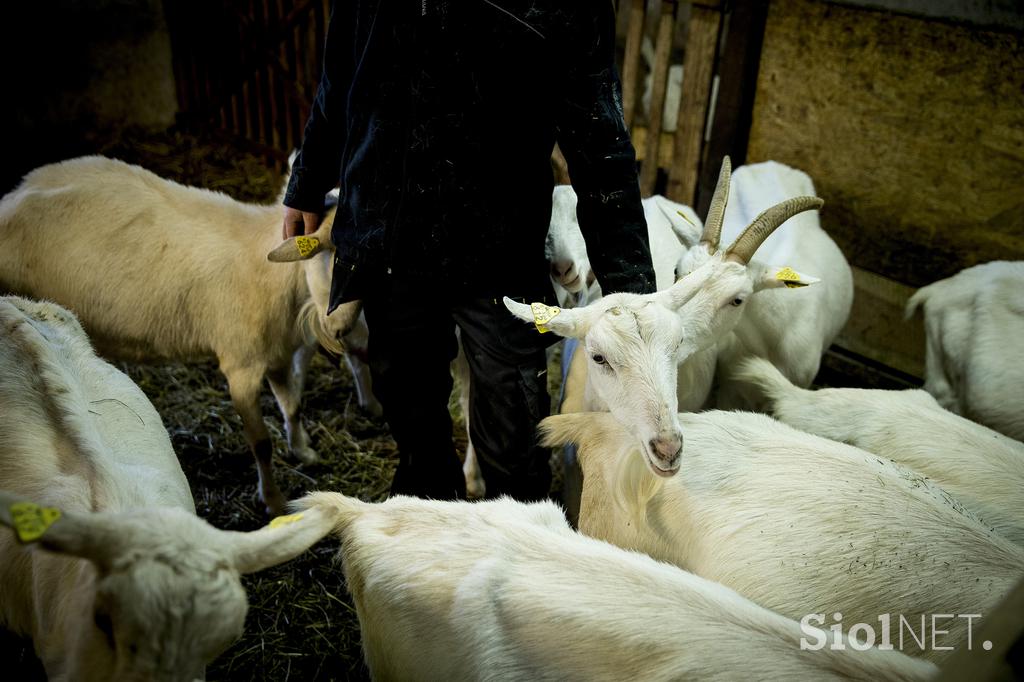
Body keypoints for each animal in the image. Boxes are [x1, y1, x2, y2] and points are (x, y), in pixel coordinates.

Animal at [0, 155, 380, 516]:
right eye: (327, 252)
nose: (340, 327)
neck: (279, 279)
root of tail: (15, 195)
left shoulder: (278, 355)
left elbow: (294, 406)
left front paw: (303, 451)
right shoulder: (241, 368)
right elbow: (261, 443)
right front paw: (272, 500)